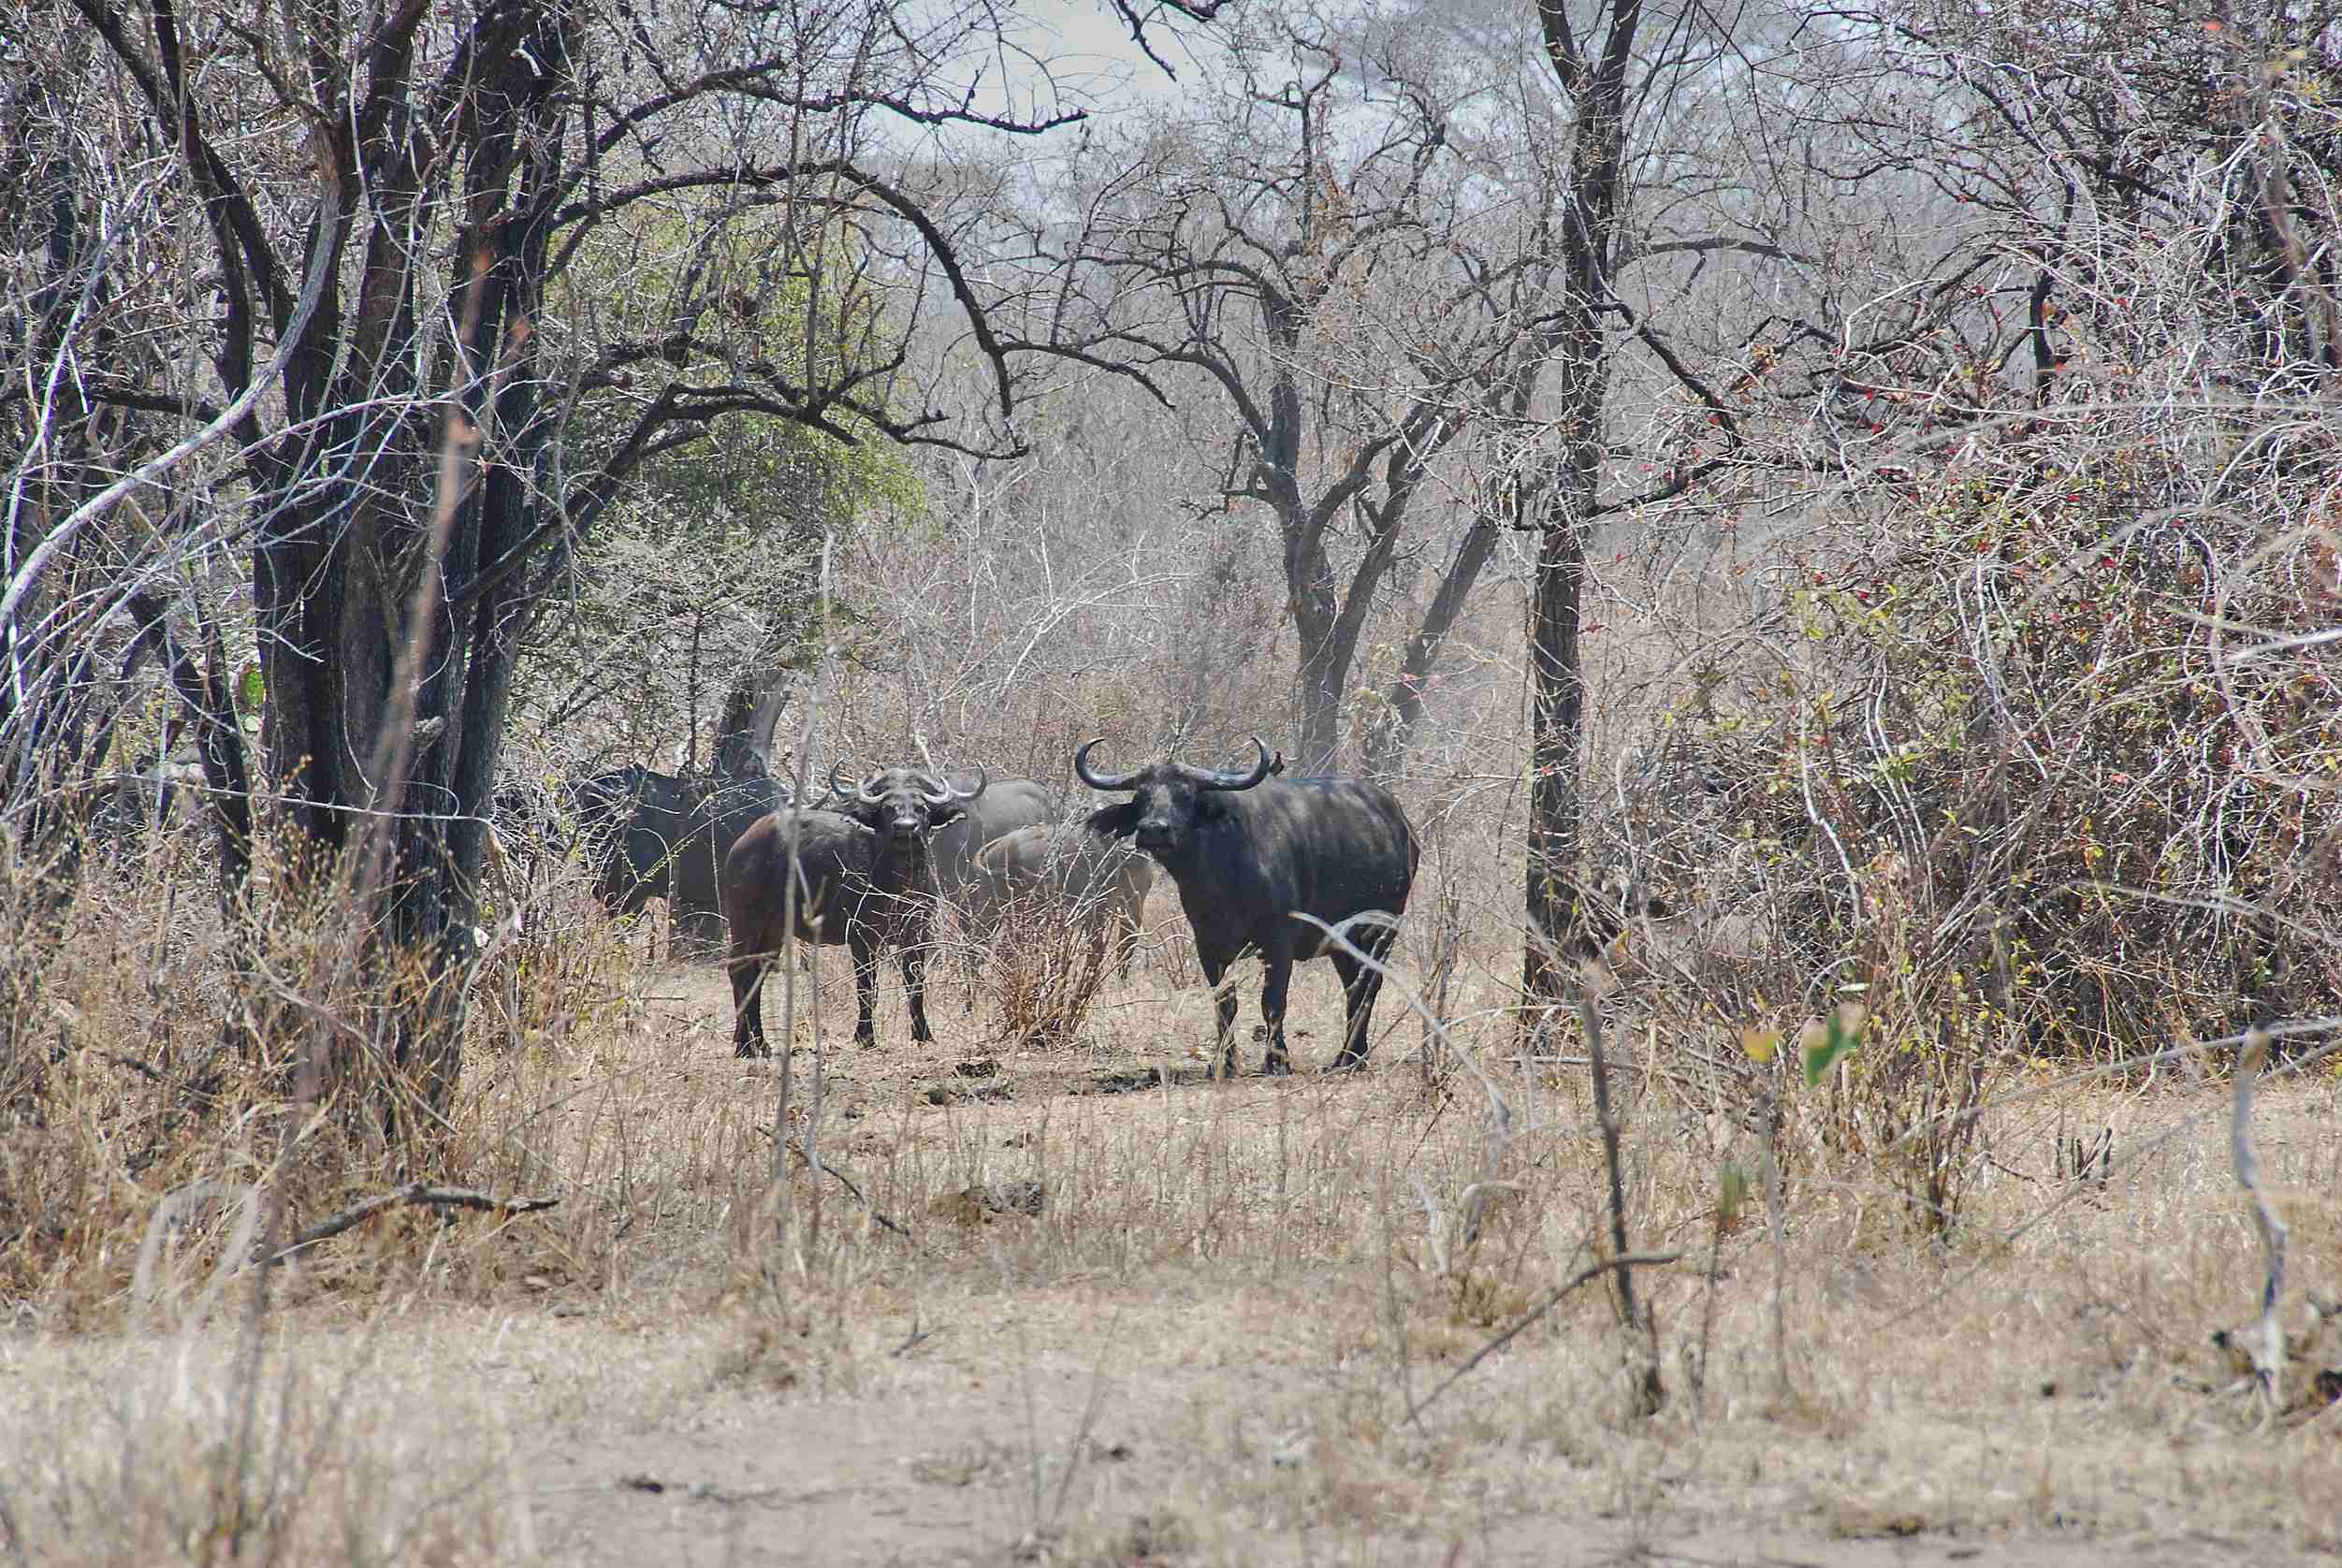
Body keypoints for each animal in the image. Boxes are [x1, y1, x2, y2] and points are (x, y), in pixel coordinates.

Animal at [723, 763, 985, 1056]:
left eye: (921, 807)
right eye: (887, 807)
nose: (905, 828)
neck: (897, 881)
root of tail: (743, 843)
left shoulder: (918, 932)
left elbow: (915, 982)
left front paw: (923, 1034)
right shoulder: (861, 936)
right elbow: (867, 987)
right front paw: (865, 1036)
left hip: (773, 931)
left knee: (757, 972)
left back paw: (759, 1042)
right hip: (745, 922)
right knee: (739, 970)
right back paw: (744, 1045)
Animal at [1076, 736, 1416, 1075]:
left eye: (1186, 795)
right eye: (1141, 796)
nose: (1152, 829)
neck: (1220, 872)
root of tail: (1401, 825)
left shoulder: (1278, 943)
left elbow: (1273, 1002)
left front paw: (1277, 1060)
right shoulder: (1207, 944)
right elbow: (1225, 1002)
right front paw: (1224, 1062)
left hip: (1381, 932)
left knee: (1369, 985)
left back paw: (1350, 1057)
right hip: (1342, 944)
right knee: (1353, 986)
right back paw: (1351, 1056)